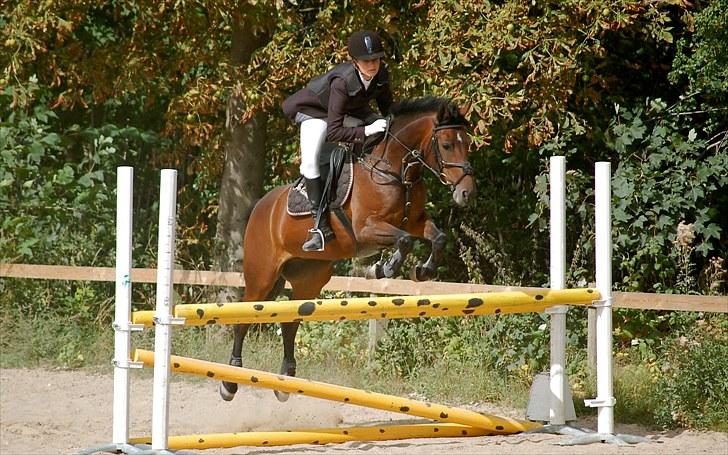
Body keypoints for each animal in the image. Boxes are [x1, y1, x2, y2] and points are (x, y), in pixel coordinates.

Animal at [219, 97, 474, 402]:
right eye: (446, 145)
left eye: (467, 143)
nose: (467, 193)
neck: (394, 171)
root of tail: (260, 207)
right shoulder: (366, 230)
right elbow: (404, 241)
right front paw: (382, 268)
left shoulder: (414, 222)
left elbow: (438, 238)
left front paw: (422, 271)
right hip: (262, 275)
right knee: (244, 317)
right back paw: (230, 381)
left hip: (310, 278)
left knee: (290, 321)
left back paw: (285, 380)